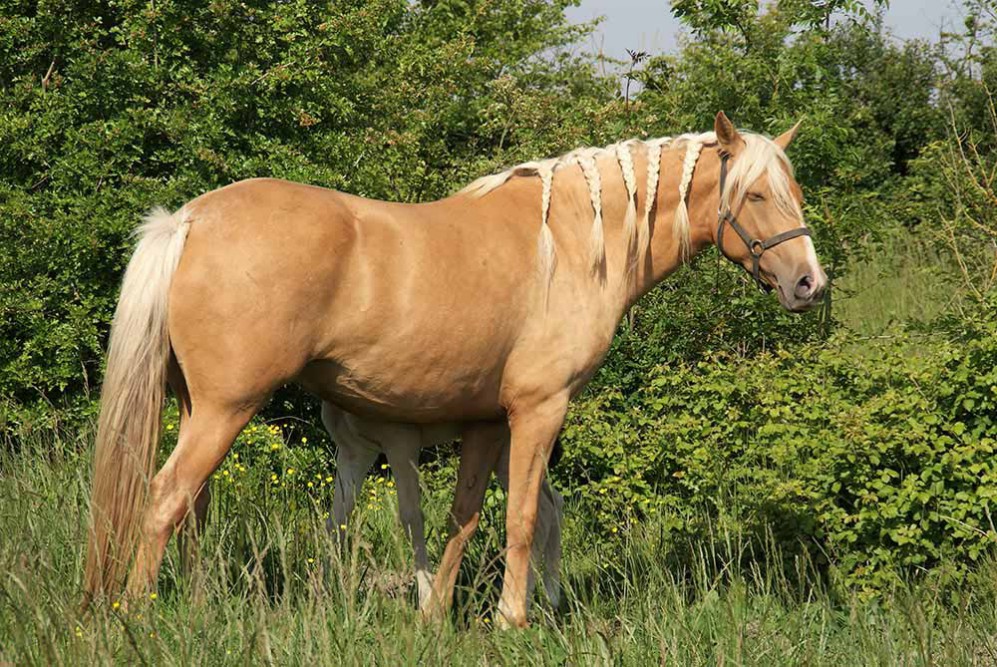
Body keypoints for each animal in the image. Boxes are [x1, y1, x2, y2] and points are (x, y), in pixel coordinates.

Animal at [322, 402, 564, 612]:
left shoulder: (401, 441)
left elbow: (411, 518)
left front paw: (426, 596)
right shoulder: (356, 451)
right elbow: (336, 522)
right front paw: (325, 590)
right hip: (505, 451)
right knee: (551, 504)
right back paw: (548, 599)